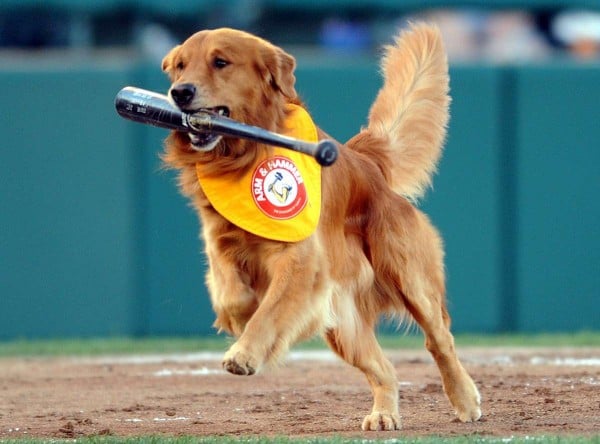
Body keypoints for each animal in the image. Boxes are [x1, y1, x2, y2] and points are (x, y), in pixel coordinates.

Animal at [161, 21, 482, 430]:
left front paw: (245, 352)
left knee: (439, 340)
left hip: (409, 277)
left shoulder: (301, 260)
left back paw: (465, 399)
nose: (179, 92)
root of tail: (368, 162)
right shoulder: (219, 242)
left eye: (221, 62)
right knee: (383, 368)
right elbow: (233, 295)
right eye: (180, 66)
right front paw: (241, 317)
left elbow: (270, 310)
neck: (243, 155)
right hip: (344, 326)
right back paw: (383, 414)